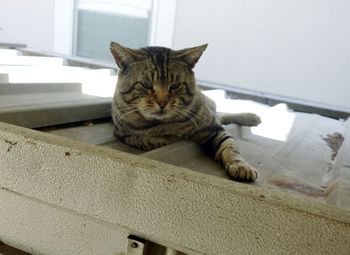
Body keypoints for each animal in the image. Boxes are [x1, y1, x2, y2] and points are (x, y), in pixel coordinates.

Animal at [109, 41, 260, 181]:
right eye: (146, 85)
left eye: (175, 85)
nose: (162, 103)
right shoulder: (123, 133)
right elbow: (151, 139)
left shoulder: (213, 128)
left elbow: (230, 147)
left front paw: (241, 166)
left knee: (221, 115)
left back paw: (252, 117)